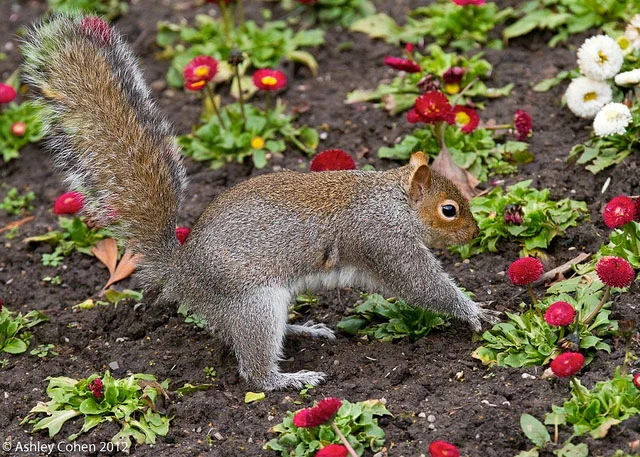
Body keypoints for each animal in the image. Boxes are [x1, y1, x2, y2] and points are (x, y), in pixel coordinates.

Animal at [22, 14, 497, 391]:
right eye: (449, 210)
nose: (475, 233)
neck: (393, 202)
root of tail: (182, 274)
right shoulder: (386, 244)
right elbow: (422, 286)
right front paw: (474, 312)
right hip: (254, 304)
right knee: (254, 371)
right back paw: (289, 378)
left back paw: (304, 329)